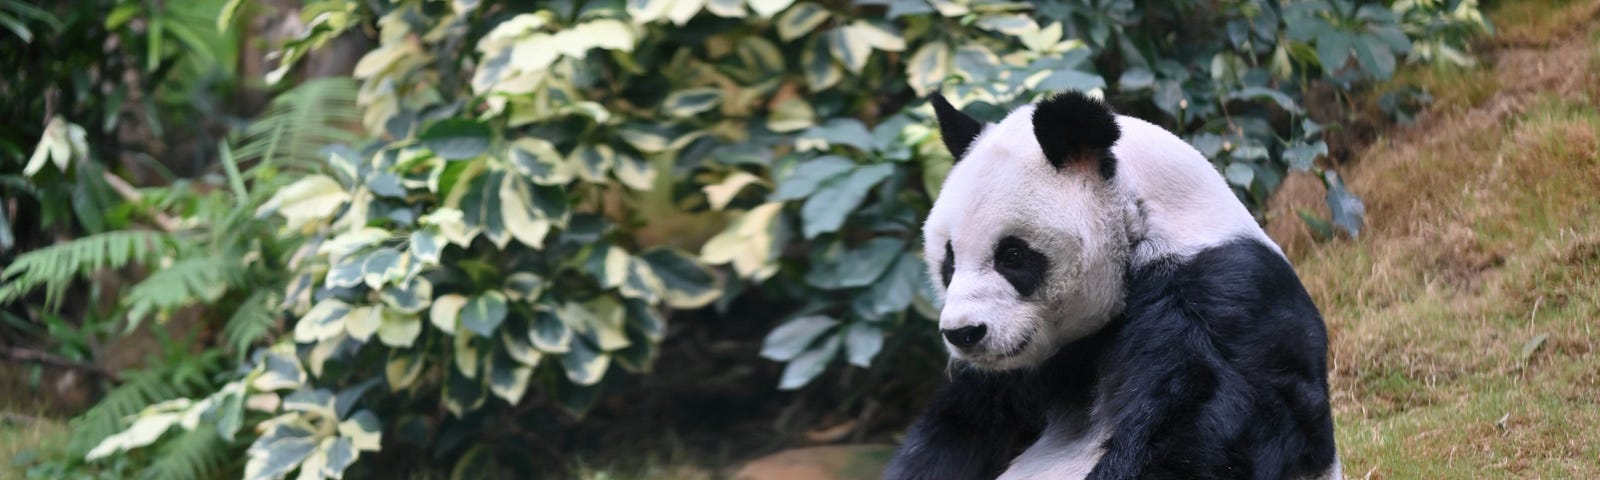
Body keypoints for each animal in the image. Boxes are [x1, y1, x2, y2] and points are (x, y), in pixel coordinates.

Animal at [883, 92, 1344, 480]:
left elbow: (1213, 424)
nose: (963, 333)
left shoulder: (1222, 296)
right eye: (949, 260)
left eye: (1011, 255)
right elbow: (957, 429)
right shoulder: (1019, 378)